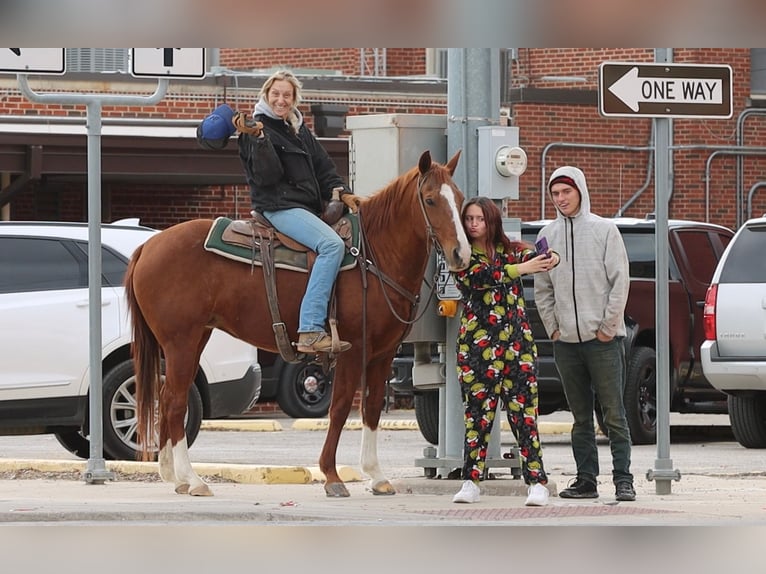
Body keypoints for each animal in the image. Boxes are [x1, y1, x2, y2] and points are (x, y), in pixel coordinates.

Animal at [125, 150, 472, 500]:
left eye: (459, 198)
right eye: (430, 200)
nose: (461, 253)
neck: (375, 255)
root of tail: (147, 247)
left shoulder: (382, 353)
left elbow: (372, 407)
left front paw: (376, 476)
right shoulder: (351, 350)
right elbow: (340, 408)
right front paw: (332, 475)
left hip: (196, 338)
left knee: (169, 395)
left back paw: (174, 475)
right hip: (181, 341)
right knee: (175, 401)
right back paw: (192, 479)